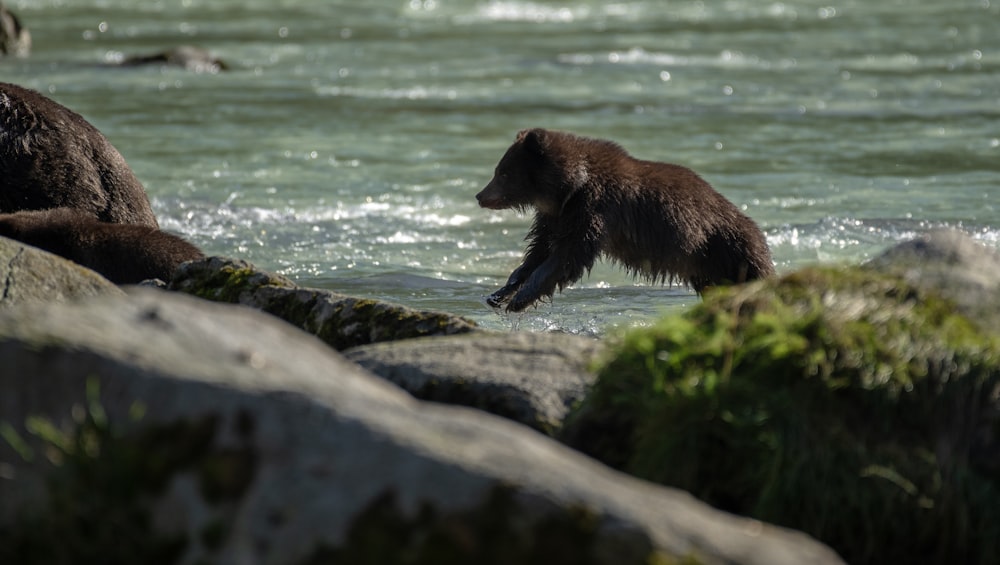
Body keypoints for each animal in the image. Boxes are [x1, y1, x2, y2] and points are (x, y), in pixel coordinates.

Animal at [476, 128, 772, 312]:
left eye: (502, 173)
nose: (480, 195)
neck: (567, 190)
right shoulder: (555, 217)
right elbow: (538, 252)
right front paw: (501, 292)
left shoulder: (594, 209)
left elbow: (567, 256)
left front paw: (520, 300)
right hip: (709, 269)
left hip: (730, 250)